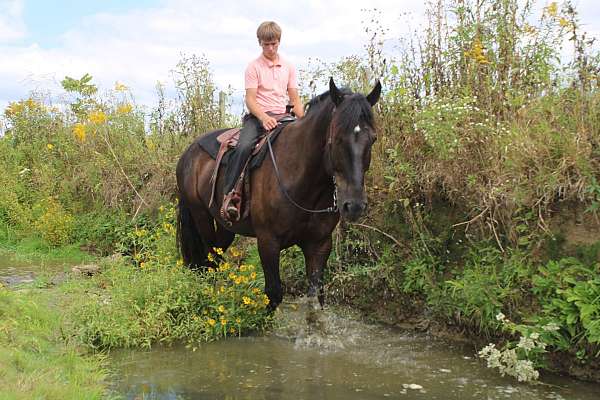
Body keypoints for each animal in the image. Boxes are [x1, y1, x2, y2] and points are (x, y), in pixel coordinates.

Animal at [176, 78, 380, 310]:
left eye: (373, 139)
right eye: (336, 138)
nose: (354, 206)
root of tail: (189, 152)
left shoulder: (319, 244)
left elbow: (315, 298)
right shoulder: (268, 242)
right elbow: (273, 294)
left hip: (225, 225)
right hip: (201, 216)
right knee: (209, 258)